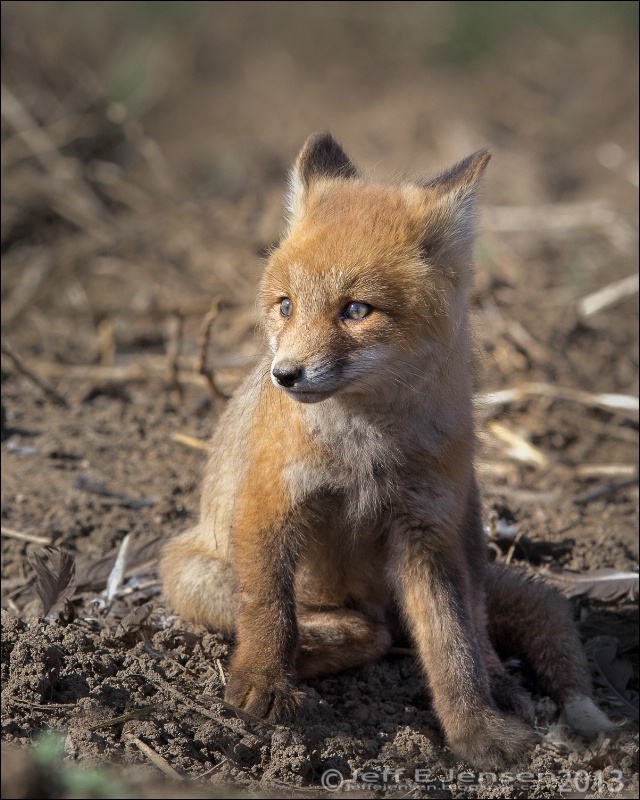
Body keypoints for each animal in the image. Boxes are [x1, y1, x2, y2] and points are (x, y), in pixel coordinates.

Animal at [160, 133, 608, 768]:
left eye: (355, 310)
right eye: (285, 305)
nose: (285, 375)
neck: (365, 450)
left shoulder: (425, 533)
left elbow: (452, 647)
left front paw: (476, 731)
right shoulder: (271, 504)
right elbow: (269, 611)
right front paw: (264, 685)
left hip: (466, 531)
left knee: (471, 627)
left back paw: (498, 685)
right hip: (189, 570)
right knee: (355, 630)